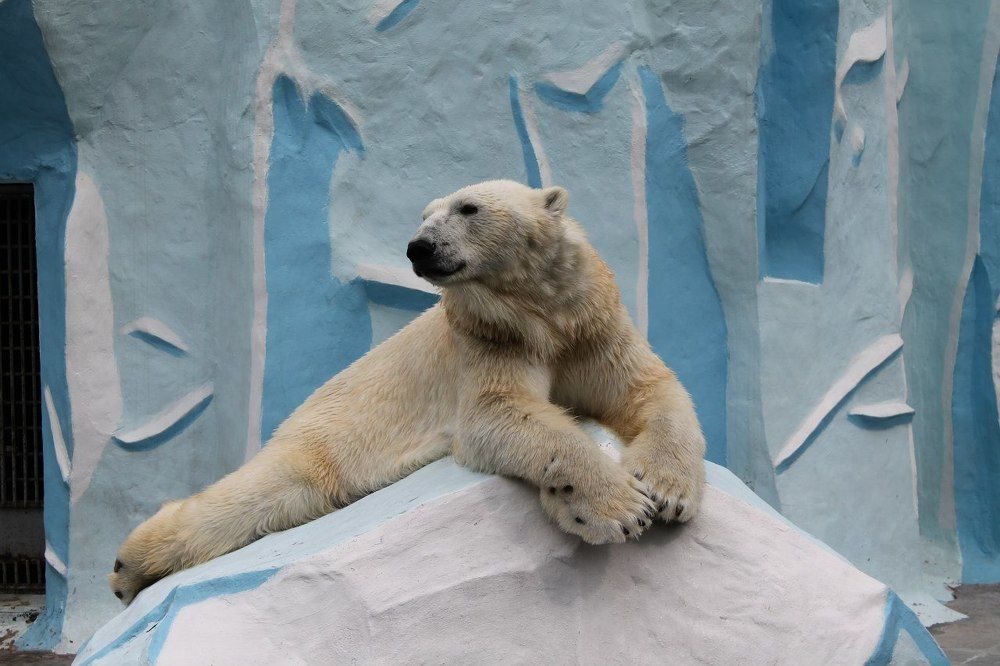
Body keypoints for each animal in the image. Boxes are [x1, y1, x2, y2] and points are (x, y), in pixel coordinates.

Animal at [109, 180, 706, 604]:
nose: (419, 246)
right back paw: (128, 567)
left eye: (467, 208)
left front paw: (667, 490)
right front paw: (621, 508)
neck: (541, 316)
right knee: (257, 493)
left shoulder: (592, 326)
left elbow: (649, 389)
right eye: (424, 214)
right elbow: (500, 414)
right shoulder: (489, 339)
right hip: (324, 439)